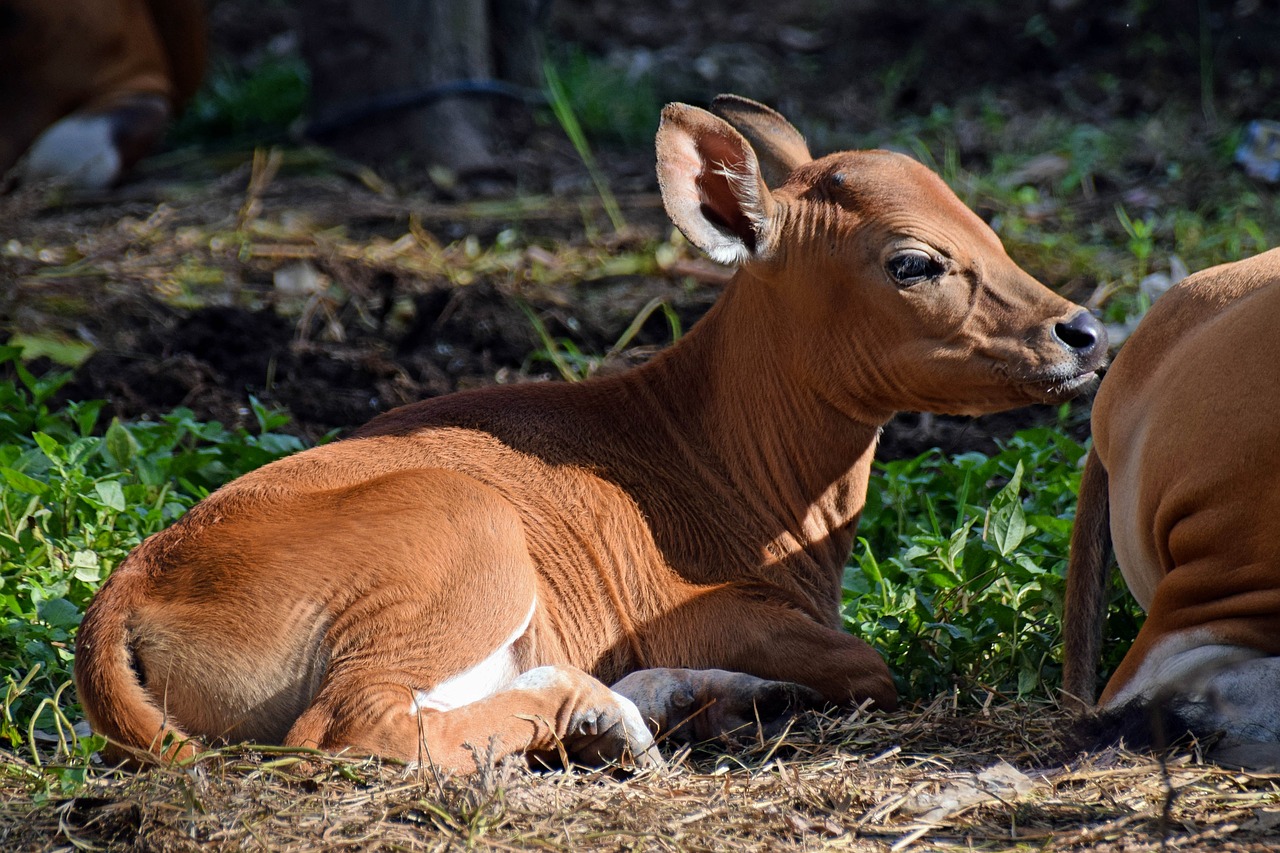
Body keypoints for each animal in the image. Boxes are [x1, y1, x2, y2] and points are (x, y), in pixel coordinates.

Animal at [74, 94, 1105, 768]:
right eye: (913, 261)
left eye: (988, 228)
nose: (1083, 330)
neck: (713, 457)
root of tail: (121, 594)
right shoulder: (711, 607)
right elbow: (871, 663)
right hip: (462, 542)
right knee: (351, 725)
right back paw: (604, 714)